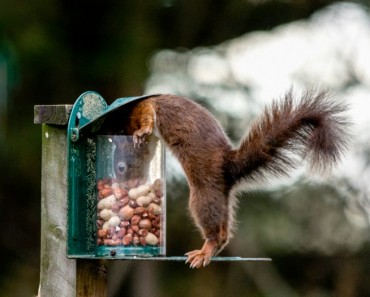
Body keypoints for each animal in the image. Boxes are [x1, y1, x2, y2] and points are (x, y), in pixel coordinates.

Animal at [111, 89, 348, 268]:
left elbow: (148, 117)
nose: (127, 184)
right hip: (221, 198)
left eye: (122, 167)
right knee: (224, 231)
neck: (125, 118)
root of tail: (229, 167)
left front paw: (141, 133)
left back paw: (204, 252)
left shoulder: (144, 108)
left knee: (213, 230)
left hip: (203, 196)